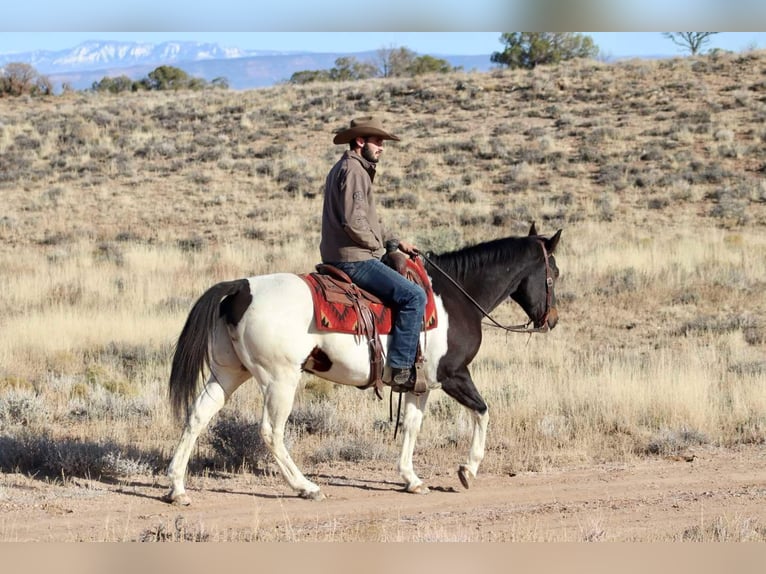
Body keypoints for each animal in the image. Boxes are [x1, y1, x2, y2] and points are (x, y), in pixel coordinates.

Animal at [163, 223, 561, 505]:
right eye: (554, 273)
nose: (552, 320)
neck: (455, 296)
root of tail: (241, 288)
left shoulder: (418, 385)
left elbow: (411, 427)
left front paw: (411, 479)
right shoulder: (452, 375)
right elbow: (482, 411)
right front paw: (468, 470)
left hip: (228, 373)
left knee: (198, 416)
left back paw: (177, 488)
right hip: (280, 380)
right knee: (271, 432)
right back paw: (306, 487)